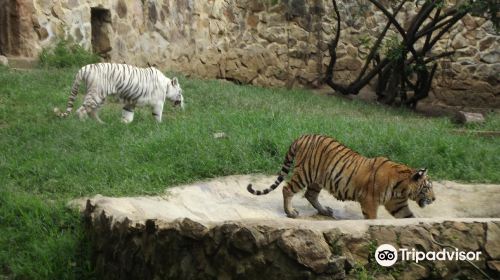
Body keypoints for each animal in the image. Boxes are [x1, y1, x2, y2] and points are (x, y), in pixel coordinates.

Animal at [53, 63, 186, 123]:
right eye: (180, 92)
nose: (183, 102)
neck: (166, 85)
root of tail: (84, 68)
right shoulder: (158, 103)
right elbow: (158, 116)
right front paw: (159, 125)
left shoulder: (130, 102)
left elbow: (128, 115)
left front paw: (124, 123)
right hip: (96, 95)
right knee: (81, 110)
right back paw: (84, 123)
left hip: (100, 97)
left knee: (92, 111)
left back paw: (101, 124)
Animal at [248, 135, 436, 220]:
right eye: (427, 187)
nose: (434, 199)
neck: (402, 188)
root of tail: (303, 137)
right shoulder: (369, 201)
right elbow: (372, 218)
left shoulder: (398, 205)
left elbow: (408, 218)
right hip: (305, 173)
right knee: (287, 189)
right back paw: (290, 212)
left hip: (317, 179)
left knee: (310, 195)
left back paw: (324, 211)